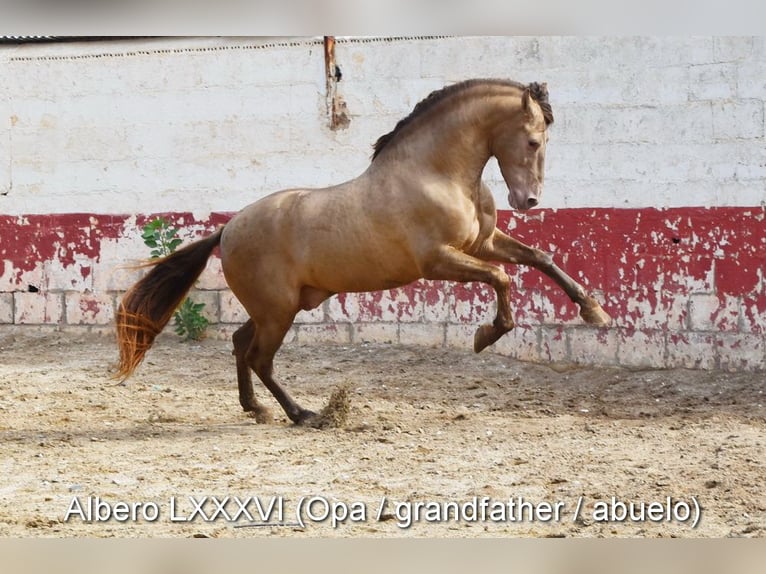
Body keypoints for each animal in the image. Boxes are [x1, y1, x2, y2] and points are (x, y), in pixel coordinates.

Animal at [117, 79, 616, 426]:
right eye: (533, 141)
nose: (528, 201)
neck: (436, 173)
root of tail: (227, 229)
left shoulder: (482, 244)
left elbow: (541, 259)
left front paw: (595, 312)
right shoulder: (439, 260)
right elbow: (502, 279)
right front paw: (485, 335)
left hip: (277, 308)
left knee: (242, 345)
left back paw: (257, 409)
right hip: (278, 311)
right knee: (259, 357)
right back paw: (304, 414)